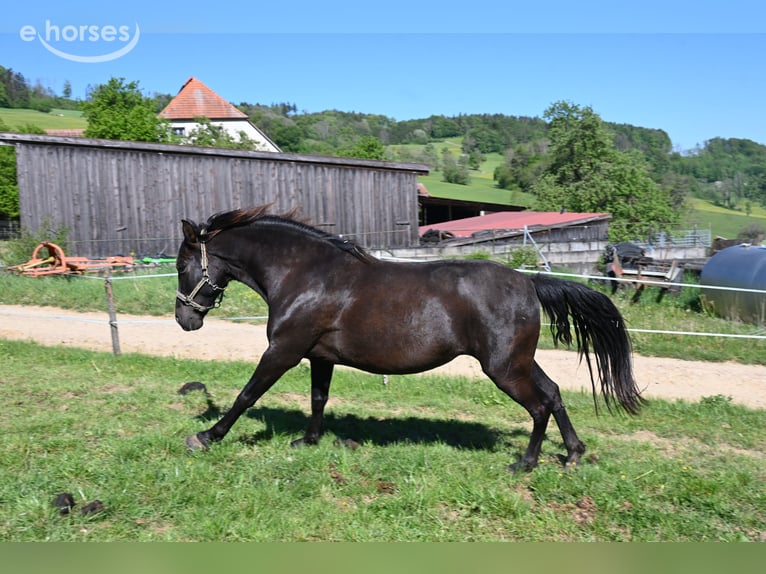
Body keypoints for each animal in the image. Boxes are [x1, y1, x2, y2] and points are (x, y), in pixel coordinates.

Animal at [175, 206, 643, 472]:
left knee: (540, 405)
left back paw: (526, 463)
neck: (306, 275)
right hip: (520, 361)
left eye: (181, 265)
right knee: (555, 393)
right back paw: (573, 453)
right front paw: (307, 441)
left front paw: (207, 437)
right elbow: (318, 399)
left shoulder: (283, 351)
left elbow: (246, 394)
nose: (184, 319)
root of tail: (528, 281)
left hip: (505, 368)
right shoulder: (319, 356)